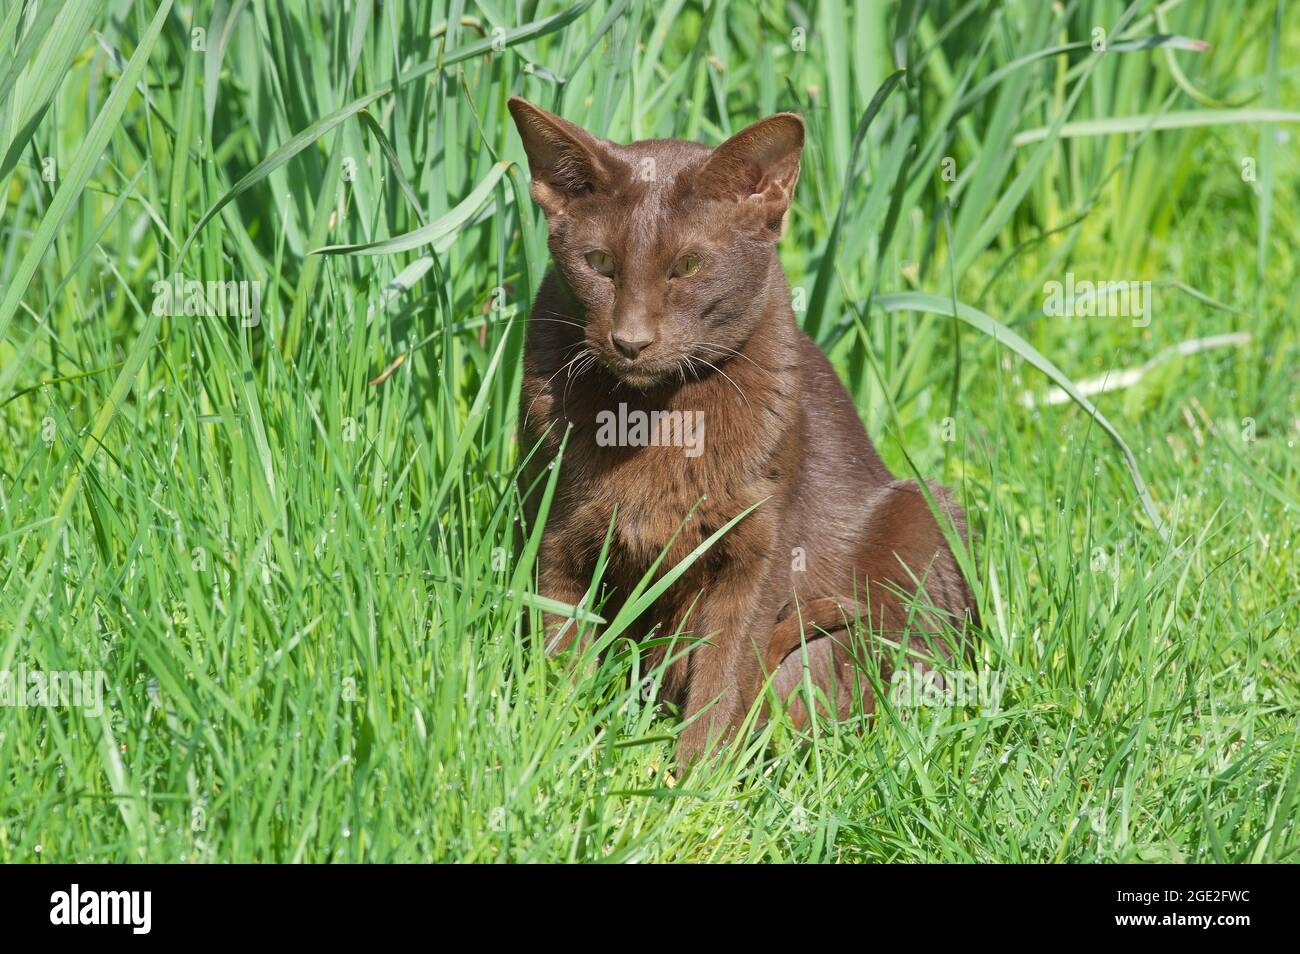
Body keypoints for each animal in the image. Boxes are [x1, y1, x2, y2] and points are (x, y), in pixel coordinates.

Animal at [506, 97, 977, 764]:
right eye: (599, 264)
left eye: (687, 266)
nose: (630, 341)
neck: (654, 415)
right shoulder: (553, 522)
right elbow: (558, 647)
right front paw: (558, 750)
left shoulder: (759, 540)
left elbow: (724, 669)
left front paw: (691, 778)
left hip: (923, 518)